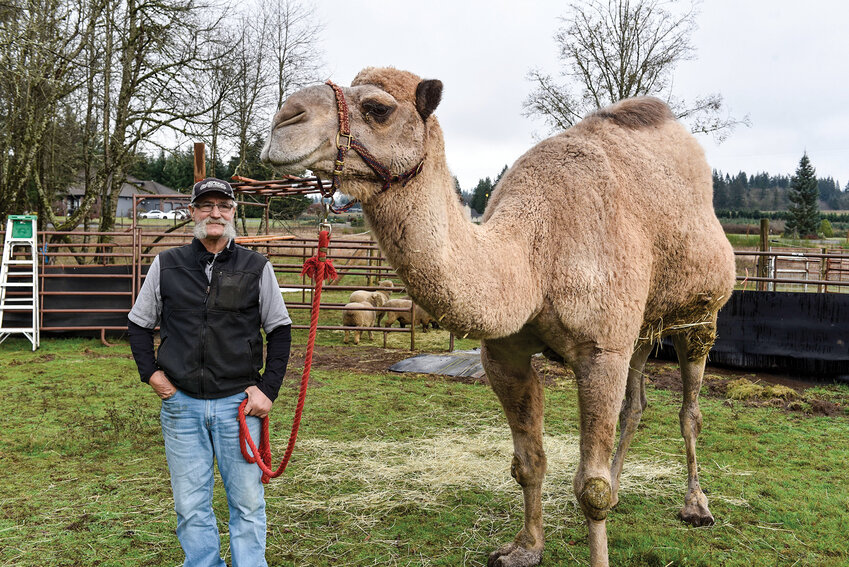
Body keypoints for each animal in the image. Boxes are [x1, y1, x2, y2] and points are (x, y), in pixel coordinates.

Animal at [261, 67, 736, 567]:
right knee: (636, 405)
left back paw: (696, 506)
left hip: (701, 317)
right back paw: (624, 488)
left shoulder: (600, 350)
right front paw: (524, 549)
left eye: (378, 107)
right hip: (644, 328)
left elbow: (590, 488)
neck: (533, 256)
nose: (285, 118)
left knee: (689, 411)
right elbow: (529, 463)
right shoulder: (505, 354)